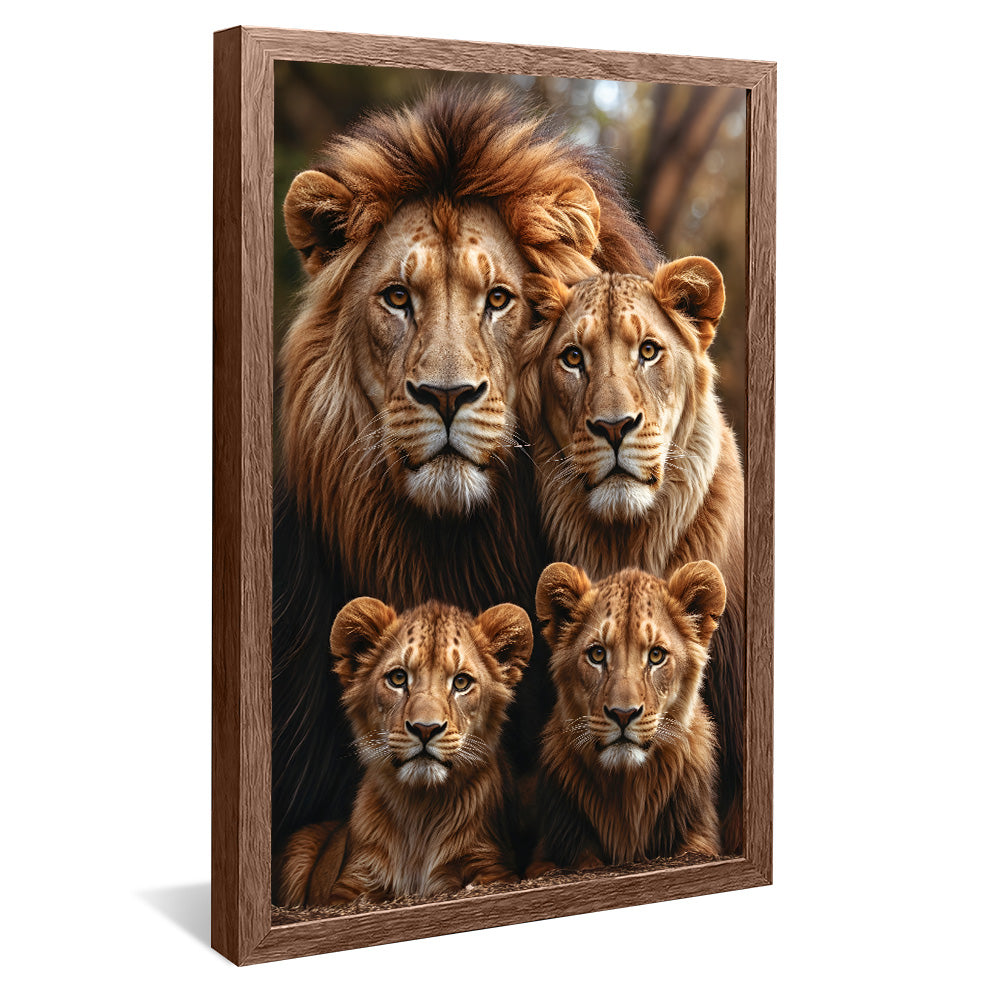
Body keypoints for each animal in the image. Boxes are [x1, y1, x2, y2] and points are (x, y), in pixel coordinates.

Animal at [276, 597, 532, 906]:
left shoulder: (493, 867)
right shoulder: (351, 882)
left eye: (461, 682)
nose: (425, 728)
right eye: (398, 678)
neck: (419, 809)